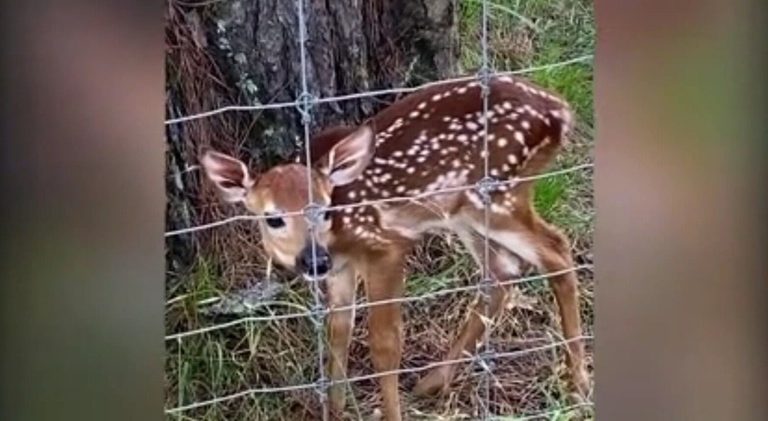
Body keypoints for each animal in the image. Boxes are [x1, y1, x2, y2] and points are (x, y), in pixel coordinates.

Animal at [199, 75, 590, 420]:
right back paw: (433, 382)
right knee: (502, 271)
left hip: (497, 195)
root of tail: (561, 112)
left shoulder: (384, 247)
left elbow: (385, 345)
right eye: (273, 217)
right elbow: (338, 332)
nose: (313, 260)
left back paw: (579, 385)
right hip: (467, 211)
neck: (338, 238)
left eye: (324, 209)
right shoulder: (341, 267)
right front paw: (335, 411)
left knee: (555, 249)